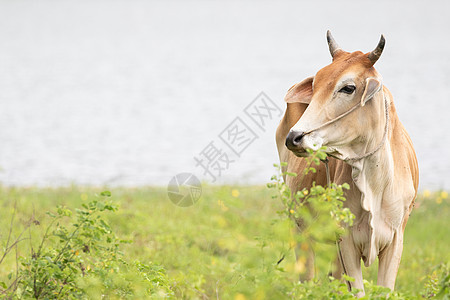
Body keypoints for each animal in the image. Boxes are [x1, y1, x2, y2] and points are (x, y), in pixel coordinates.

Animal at [276, 31, 420, 296]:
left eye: (348, 88)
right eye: (316, 85)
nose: (295, 137)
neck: (375, 183)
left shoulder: (396, 239)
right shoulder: (346, 241)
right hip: (300, 229)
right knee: (306, 277)